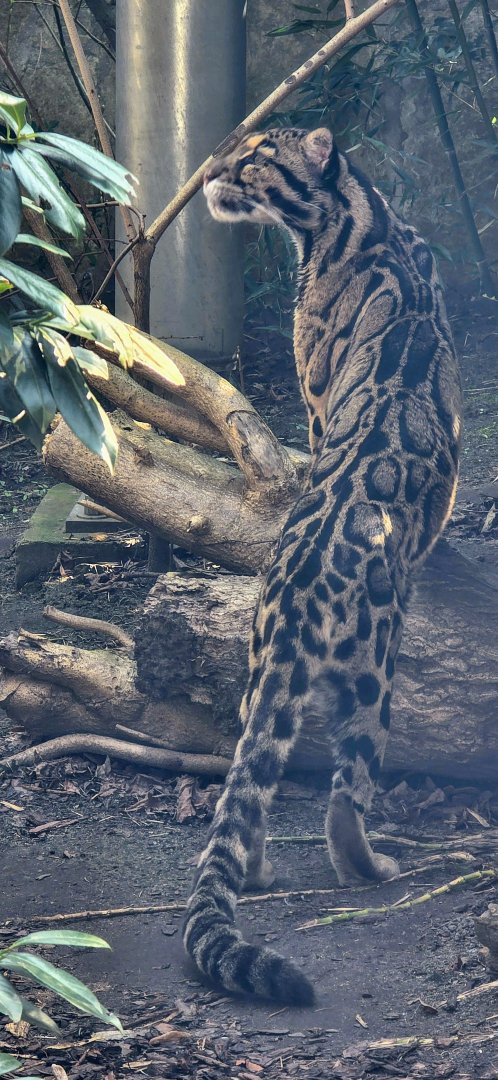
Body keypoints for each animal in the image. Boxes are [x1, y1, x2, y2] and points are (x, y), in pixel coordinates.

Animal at [183, 126, 462, 1006]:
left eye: (251, 158)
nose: (210, 172)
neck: (359, 216)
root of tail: (304, 583)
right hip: (376, 675)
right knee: (344, 795)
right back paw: (374, 867)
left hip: (258, 679)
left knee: (251, 790)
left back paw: (258, 872)